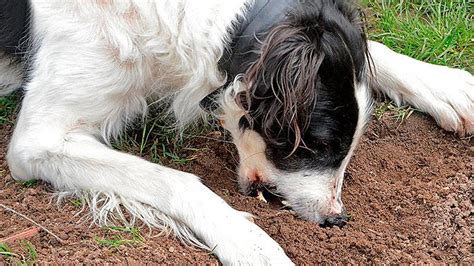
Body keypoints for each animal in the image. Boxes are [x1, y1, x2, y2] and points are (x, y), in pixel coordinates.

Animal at [0, 0, 472, 264]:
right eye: (319, 144)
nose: (336, 219)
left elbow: (372, 50)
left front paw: (450, 86)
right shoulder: (38, 140)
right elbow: (176, 180)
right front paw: (252, 243)